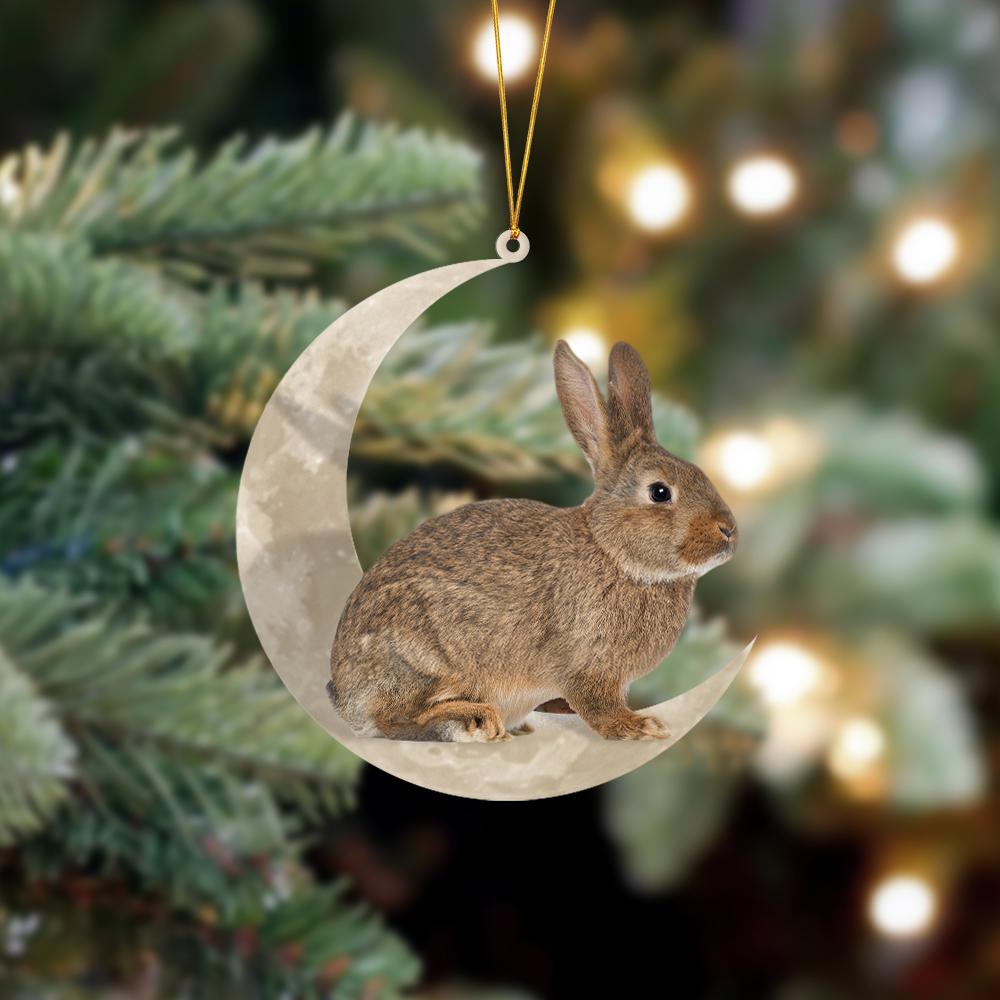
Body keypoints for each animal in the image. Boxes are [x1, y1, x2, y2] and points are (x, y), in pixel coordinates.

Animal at [328, 339, 737, 743]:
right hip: (423, 655)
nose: (729, 530)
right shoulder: (588, 666)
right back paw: (472, 720)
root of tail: (344, 693)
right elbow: (598, 707)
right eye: (659, 492)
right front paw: (639, 726)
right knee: (394, 720)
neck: (612, 552)